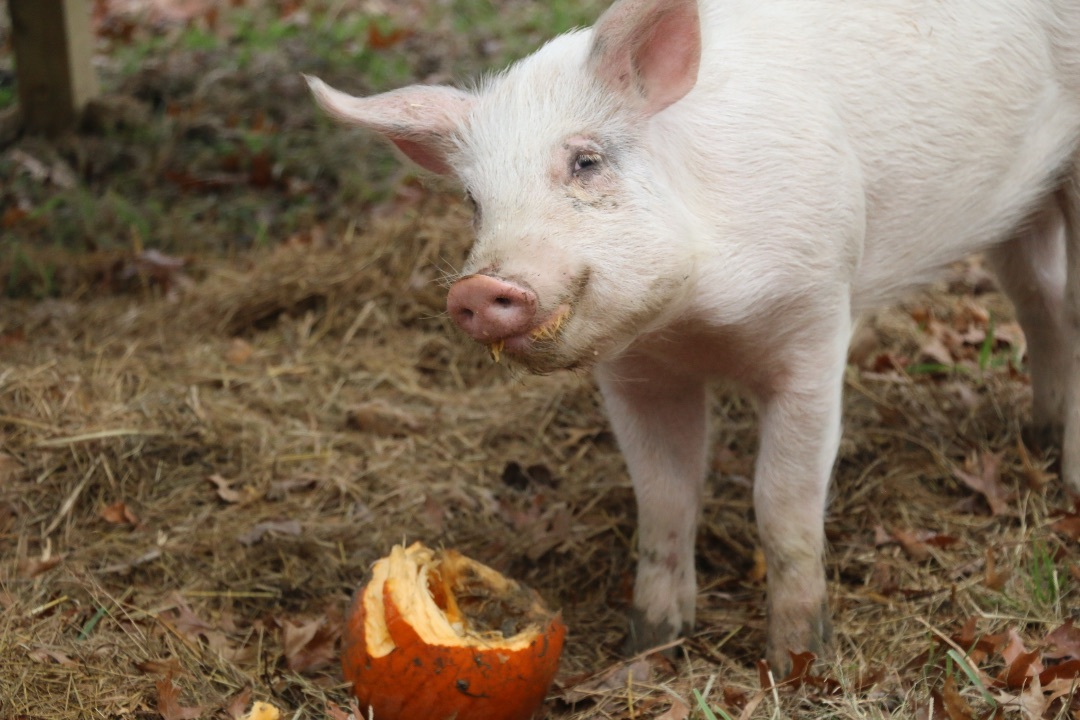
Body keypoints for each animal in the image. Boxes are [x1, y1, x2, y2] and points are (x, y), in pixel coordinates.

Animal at [307, 0, 1080, 673]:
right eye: (474, 201)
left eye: (586, 161)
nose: (475, 289)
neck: (695, 324)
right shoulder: (637, 376)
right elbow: (664, 500)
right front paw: (648, 649)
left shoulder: (815, 324)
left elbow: (783, 504)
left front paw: (797, 665)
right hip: (1023, 206)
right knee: (1040, 304)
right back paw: (1040, 436)